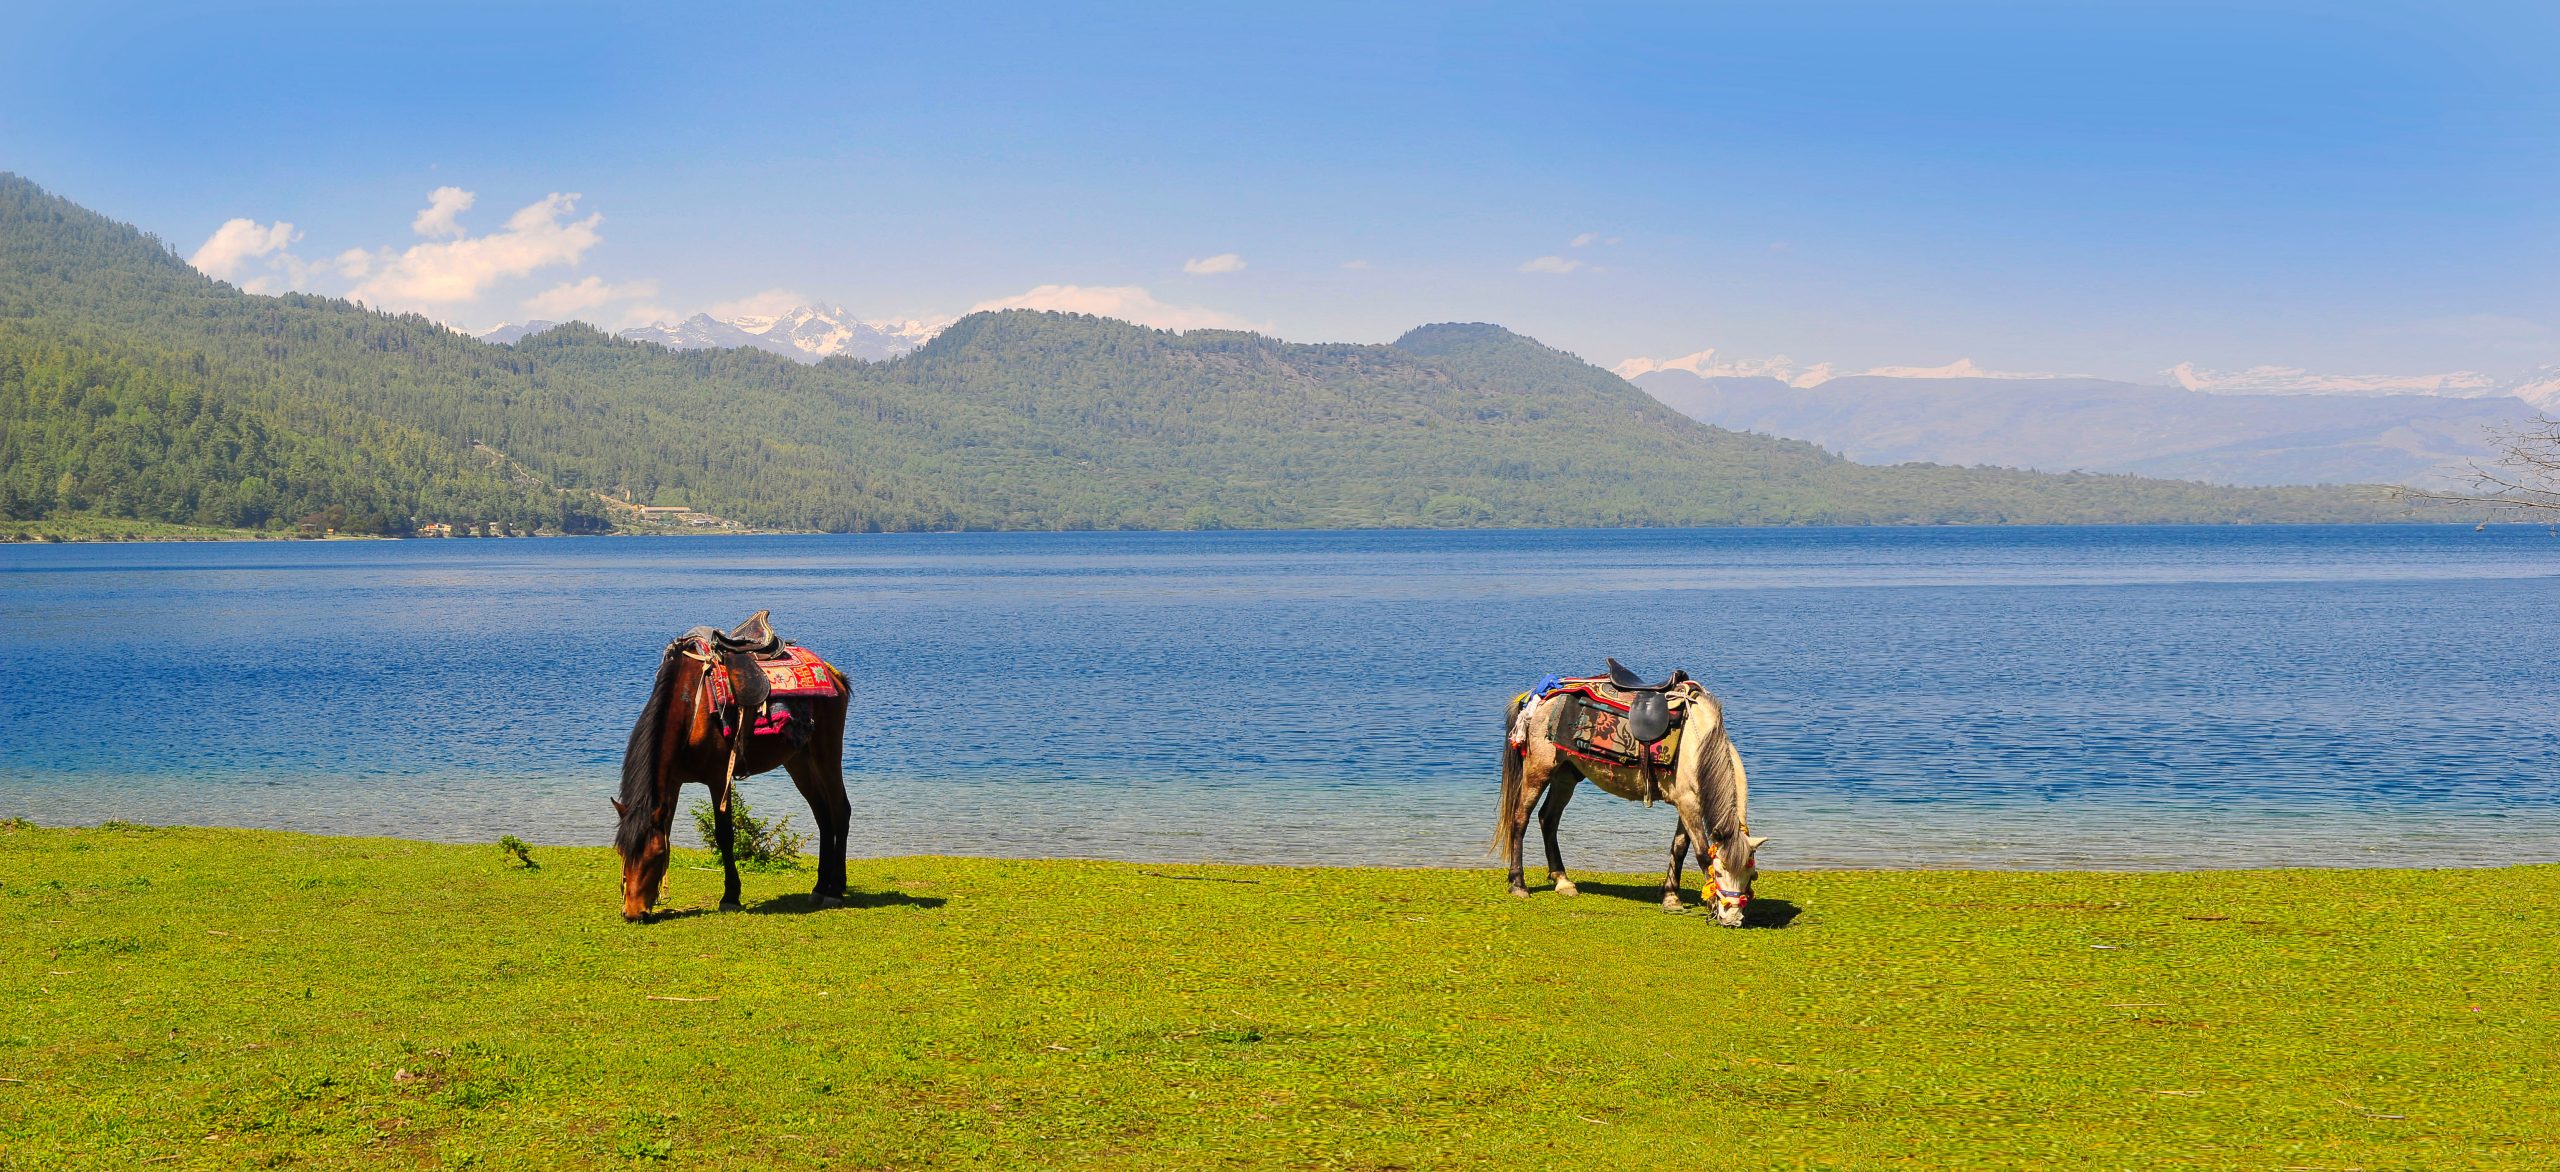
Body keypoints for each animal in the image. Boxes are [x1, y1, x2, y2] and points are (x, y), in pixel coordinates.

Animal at [614, 614, 855, 926]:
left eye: (654, 855)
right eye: (621, 851)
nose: (632, 913)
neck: (690, 707)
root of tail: (834, 676)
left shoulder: (719, 778)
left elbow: (724, 836)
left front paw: (730, 896)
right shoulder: (674, 781)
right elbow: (667, 827)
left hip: (826, 753)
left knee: (840, 811)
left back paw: (836, 890)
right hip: (798, 761)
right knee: (823, 816)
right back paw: (820, 887)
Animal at [1495, 670, 1771, 931]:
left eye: (1752, 875)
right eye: (1721, 871)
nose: (1732, 919)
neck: (1699, 747)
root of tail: (1540, 694)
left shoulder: (1688, 804)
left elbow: (1679, 848)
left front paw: (1671, 898)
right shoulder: (1688, 803)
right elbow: (1702, 853)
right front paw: (1711, 903)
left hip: (1566, 774)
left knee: (1548, 819)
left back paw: (1563, 881)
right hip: (1538, 770)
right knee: (1520, 819)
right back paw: (1519, 885)